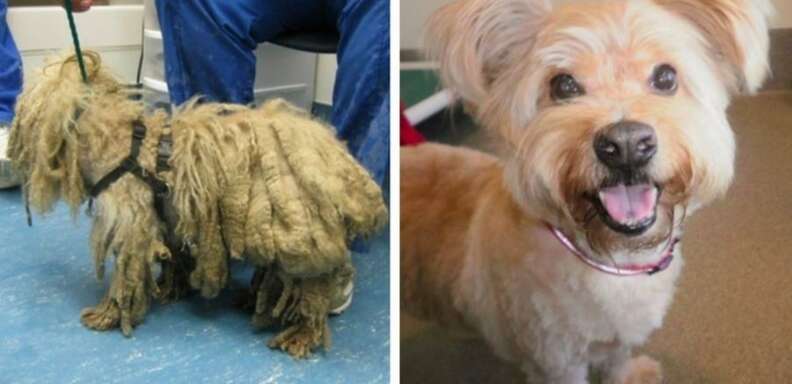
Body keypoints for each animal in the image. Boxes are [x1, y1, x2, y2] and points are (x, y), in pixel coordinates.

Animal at [5, 51, 390, 356]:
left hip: (299, 231)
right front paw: (171, 288)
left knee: (312, 286)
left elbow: (127, 276)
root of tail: (343, 161)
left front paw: (110, 314)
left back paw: (302, 331)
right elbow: (174, 256)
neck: (122, 144)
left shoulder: (133, 223)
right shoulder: (172, 217)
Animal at [402, 0, 768, 382]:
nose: (626, 145)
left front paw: (629, 375)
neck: (611, 259)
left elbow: (617, 359)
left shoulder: (616, 339)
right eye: (563, 85)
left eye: (666, 77)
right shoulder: (556, 360)